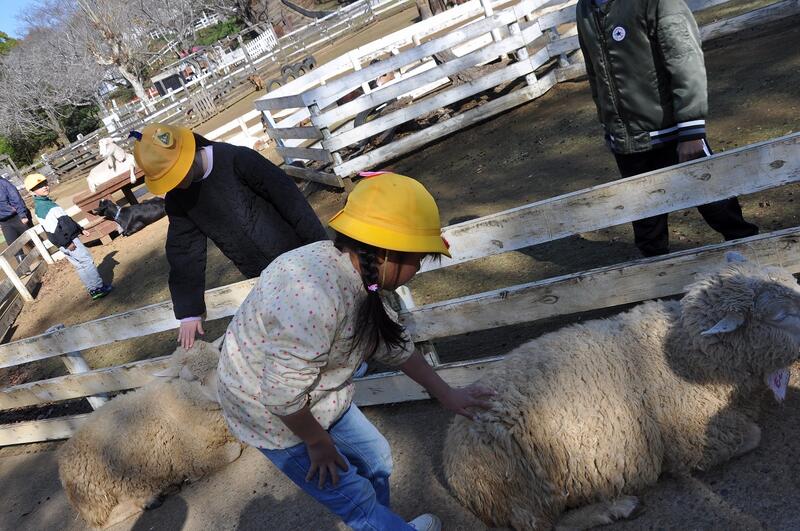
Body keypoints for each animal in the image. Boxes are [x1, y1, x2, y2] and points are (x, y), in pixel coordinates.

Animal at [57, 340, 243, 529]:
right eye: (196, 379)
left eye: (219, 364)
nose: (226, 397)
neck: (179, 398)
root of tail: (63, 457)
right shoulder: (194, 457)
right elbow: (234, 450)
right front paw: (193, 476)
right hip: (97, 498)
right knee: (102, 523)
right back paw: (149, 501)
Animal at [443, 253, 800, 530]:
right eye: (780, 314)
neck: (686, 349)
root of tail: (454, 468)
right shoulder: (696, 440)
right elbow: (753, 436)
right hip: (529, 489)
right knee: (545, 525)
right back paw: (615, 508)